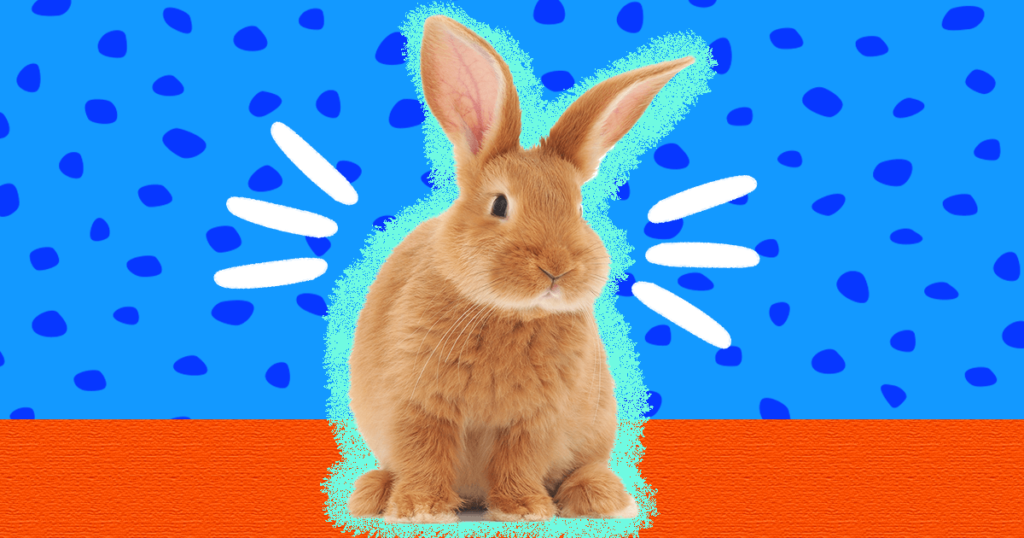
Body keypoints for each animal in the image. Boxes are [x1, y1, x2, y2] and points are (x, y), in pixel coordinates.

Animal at [347, 15, 694, 524]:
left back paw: (601, 497)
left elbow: (520, 458)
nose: (557, 268)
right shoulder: (418, 405)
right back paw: (372, 492)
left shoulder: (536, 418)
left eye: (578, 208)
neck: (507, 311)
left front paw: (523, 509)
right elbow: (425, 454)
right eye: (499, 204)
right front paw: (419, 510)